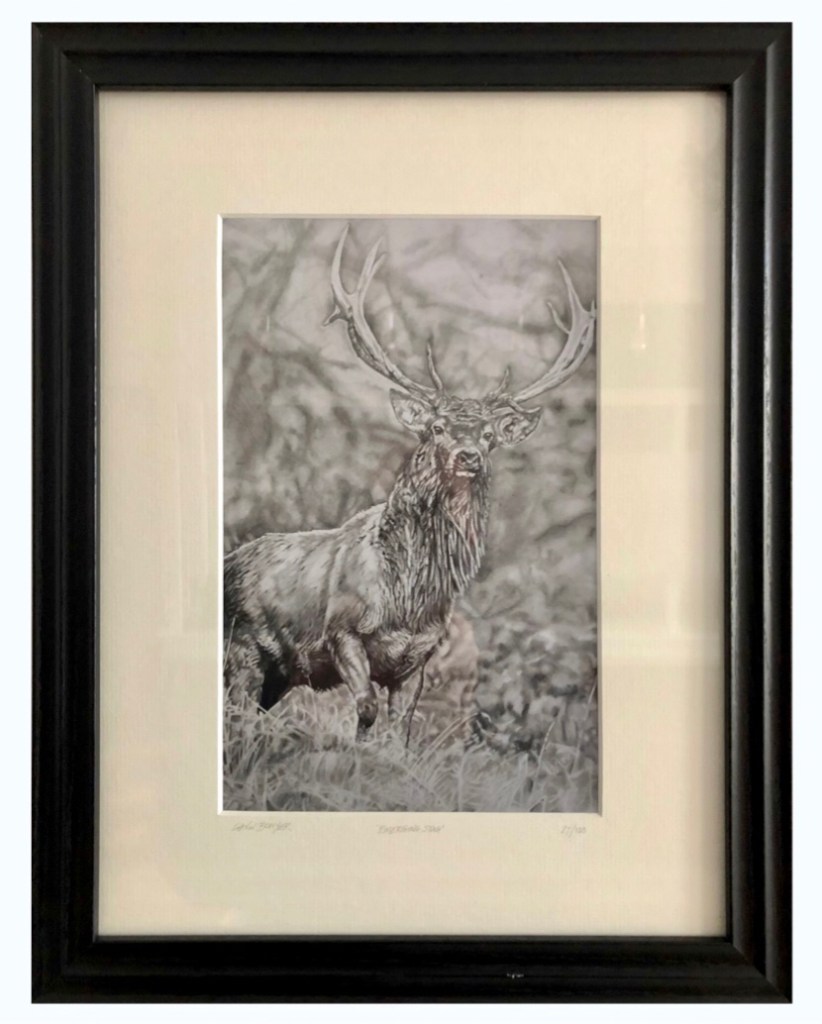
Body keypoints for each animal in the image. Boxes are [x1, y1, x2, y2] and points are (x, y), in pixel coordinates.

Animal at [223, 225, 596, 741]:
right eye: (436, 427)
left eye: (488, 436)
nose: (468, 455)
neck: (408, 598)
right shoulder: (342, 632)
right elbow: (364, 709)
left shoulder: (416, 659)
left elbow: (400, 731)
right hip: (243, 650)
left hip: (276, 675)